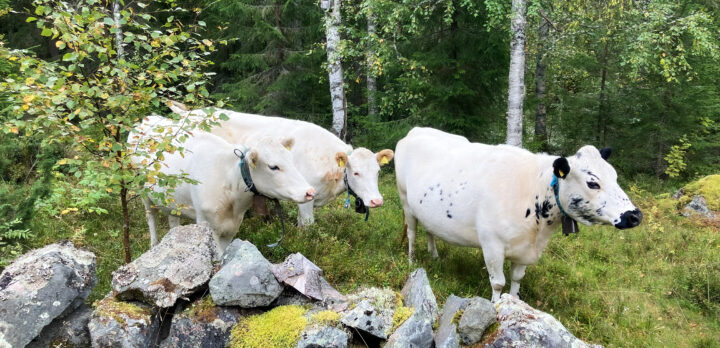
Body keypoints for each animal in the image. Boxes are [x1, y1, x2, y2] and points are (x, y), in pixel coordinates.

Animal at [129, 115, 316, 251]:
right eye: (273, 166)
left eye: (291, 159)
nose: (310, 192)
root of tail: (148, 118)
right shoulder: (206, 224)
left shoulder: (231, 228)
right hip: (141, 188)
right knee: (150, 216)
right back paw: (153, 244)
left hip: (172, 200)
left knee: (173, 219)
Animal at [168, 104, 394, 226]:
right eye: (356, 173)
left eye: (378, 172)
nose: (376, 201)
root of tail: (188, 114)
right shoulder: (307, 198)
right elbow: (308, 226)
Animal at [396, 128, 644, 302]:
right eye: (593, 183)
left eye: (615, 176)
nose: (635, 215)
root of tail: (414, 131)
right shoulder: (492, 244)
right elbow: (498, 283)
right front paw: (496, 305)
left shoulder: (524, 250)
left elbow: (516, 279)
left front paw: (515, 301)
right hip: (406, 201)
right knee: (412, 234)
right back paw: (411, 261)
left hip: (427, 211)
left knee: (430, 230)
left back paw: (434, 256)